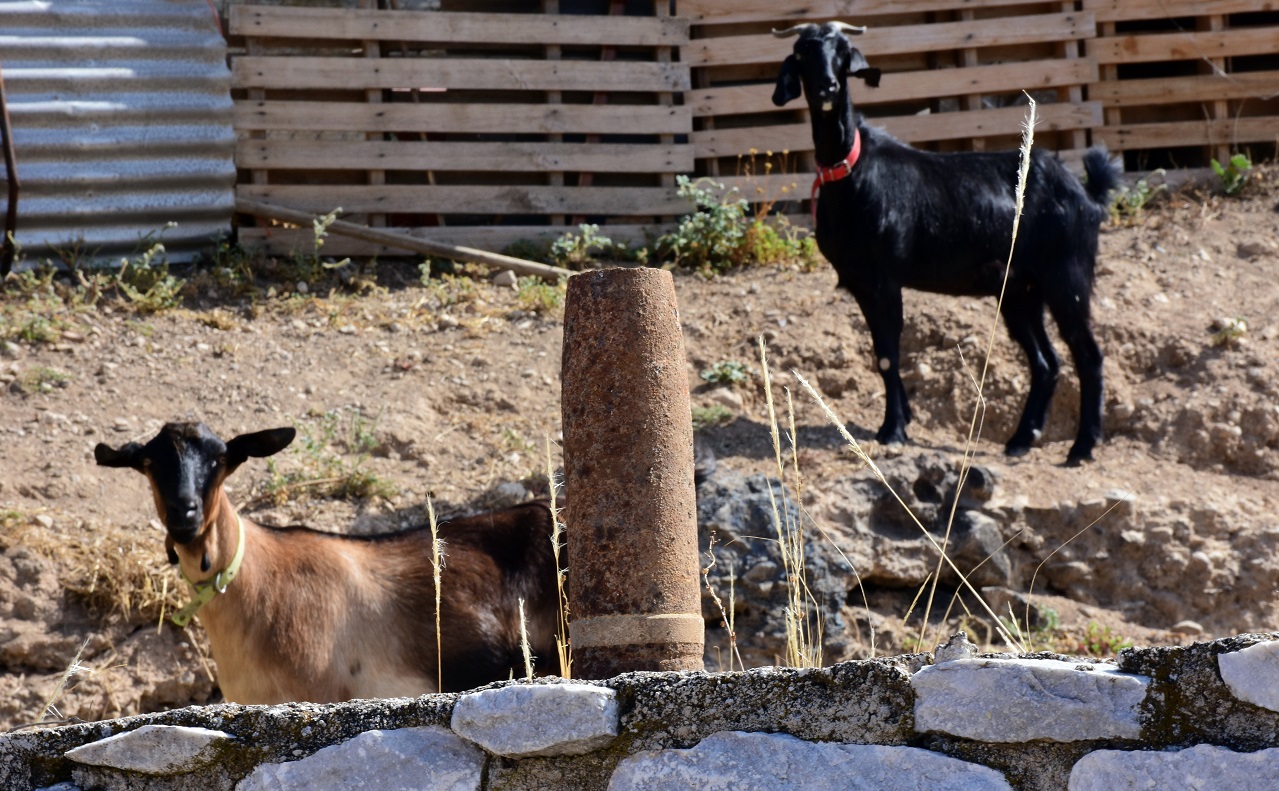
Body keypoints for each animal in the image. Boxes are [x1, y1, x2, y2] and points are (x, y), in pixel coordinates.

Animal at [767, 21, 1120, 460]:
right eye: (801, 53)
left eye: (843, 52)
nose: (827, 88)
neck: (852, 172)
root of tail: (1087, 194)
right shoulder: (861, 283)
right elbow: (882, 353)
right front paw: (903, 418)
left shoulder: (884, 279)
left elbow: (889, 354)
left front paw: (893, 428)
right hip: (1020, 290)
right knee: (1046, 361)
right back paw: (1022, 438)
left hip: (1066, 276)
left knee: (1087, 355)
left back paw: (1082, 446)